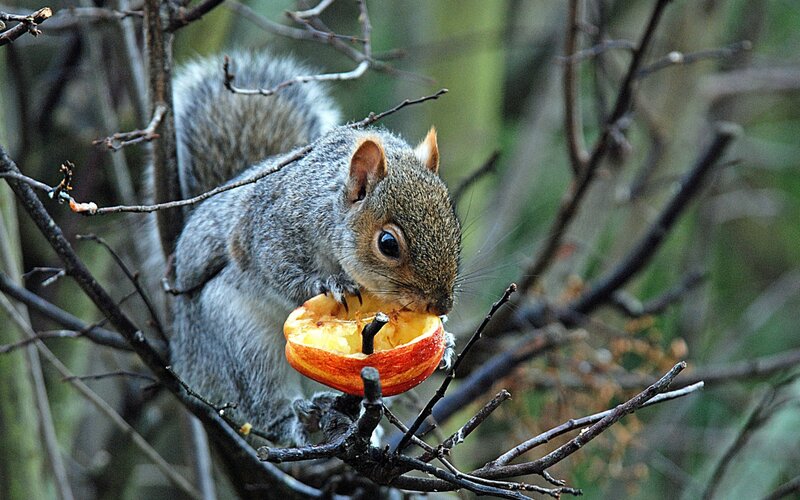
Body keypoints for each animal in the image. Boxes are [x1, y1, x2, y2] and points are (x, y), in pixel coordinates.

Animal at [168, 51, 461, 444]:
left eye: (454, 224)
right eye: (388, 244)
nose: (441, 305)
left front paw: (446, 341)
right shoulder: (269, 231)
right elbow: (276, 270)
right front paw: (330, 285)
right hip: (238, 339)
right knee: (261, 401)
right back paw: (298, 420)